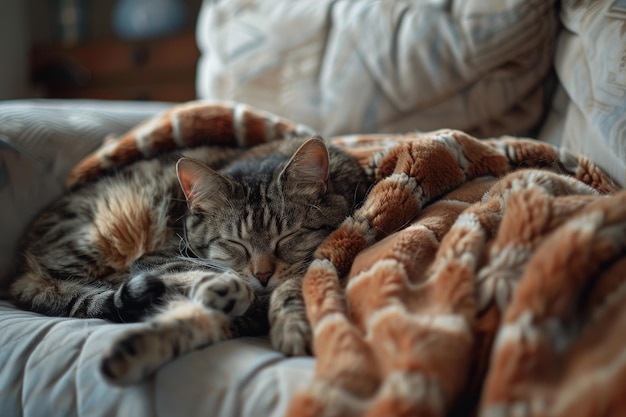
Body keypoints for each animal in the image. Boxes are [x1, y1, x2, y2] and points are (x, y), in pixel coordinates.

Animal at [11, 136, 370, 384]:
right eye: (234, 243)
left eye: (287, 238)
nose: (263, 275)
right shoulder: (156, 258)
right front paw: (228, 288)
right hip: (101, 233)